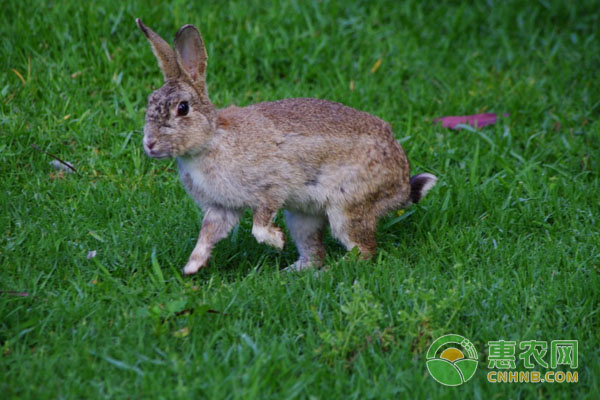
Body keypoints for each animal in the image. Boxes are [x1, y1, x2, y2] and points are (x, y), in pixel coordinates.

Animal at [136, 18, 436, 276]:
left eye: (182, 109)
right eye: (150, 101)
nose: (149, 144)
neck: (210, 140)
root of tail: (401, 183)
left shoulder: (271, 186)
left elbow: (259, 224)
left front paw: (277, 241)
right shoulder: (222, 208)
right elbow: (207, 234)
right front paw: (192, 267)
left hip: (347, 206)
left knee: (363, 251)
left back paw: (328, 273)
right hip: (303, 217)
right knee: (314, 253)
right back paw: (290, 273)